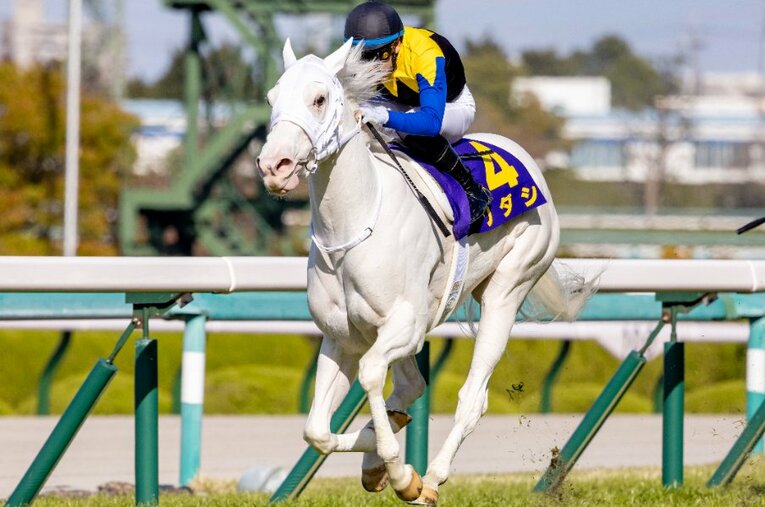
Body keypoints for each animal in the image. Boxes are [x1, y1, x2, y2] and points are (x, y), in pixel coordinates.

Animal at [256, 38, 595, 505]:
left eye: (319, 99)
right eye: (272, 98)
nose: (276, 166)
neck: (353, 224)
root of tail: (525, 159)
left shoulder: (406, 325)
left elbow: (371, 376)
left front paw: (401, 473)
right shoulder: (342, 337)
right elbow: (318, 432)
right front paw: (382, 454)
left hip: (509, 286)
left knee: (472, 398)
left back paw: (431, 478)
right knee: (410, 387)